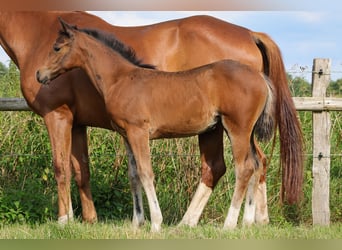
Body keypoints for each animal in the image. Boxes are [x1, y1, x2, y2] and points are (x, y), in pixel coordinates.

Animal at [0, 11, 304, 227]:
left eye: (57, 47)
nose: (40, 75)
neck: (122, 77)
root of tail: (260, 77)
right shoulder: (124, 134)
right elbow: (133, 174)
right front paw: (137, 222)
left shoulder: (132, 131)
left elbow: (146, 173)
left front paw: (155, 222)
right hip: (243, 131)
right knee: (257, 162)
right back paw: (246, 221)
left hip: (235, 128)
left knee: (242, 167)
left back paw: (227, 224)